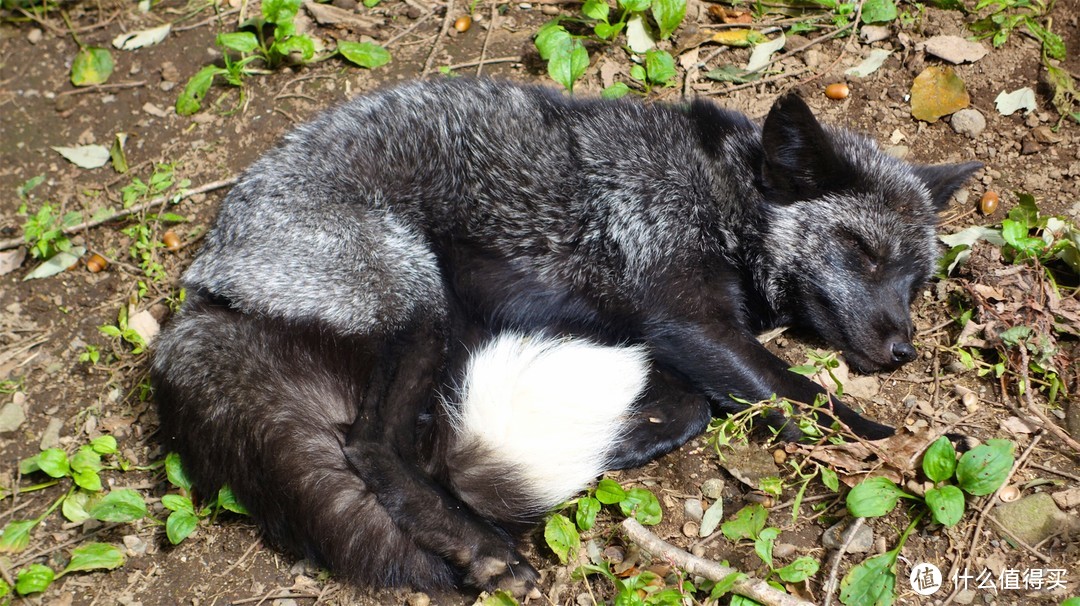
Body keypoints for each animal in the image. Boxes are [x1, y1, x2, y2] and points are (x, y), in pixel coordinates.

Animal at [147, 79, 984, 596]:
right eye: (862, 253)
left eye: (917, 281)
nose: (903, 350)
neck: (720, 196)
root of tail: (205, 281)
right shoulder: (681, 315)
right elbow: (803, 398)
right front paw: (887, 444)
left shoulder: (644, 335)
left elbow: (693, 408)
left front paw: (611, 449)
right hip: (420, 305)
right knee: (373, 448)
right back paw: (483, 548)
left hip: (457, 331)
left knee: (425, 445)